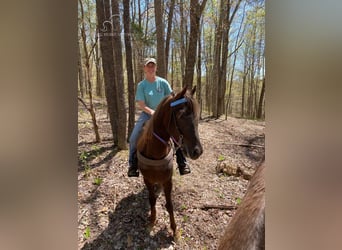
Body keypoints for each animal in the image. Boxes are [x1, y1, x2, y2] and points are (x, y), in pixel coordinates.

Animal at [136, 85, 202, 238]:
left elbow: (170, 204)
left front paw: (174, 230)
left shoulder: (168, 180)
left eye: (196, 115)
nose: (197, 151)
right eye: (181, 115)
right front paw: (152, 222)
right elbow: (152, 200)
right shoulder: (147, 179)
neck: (154, 151)